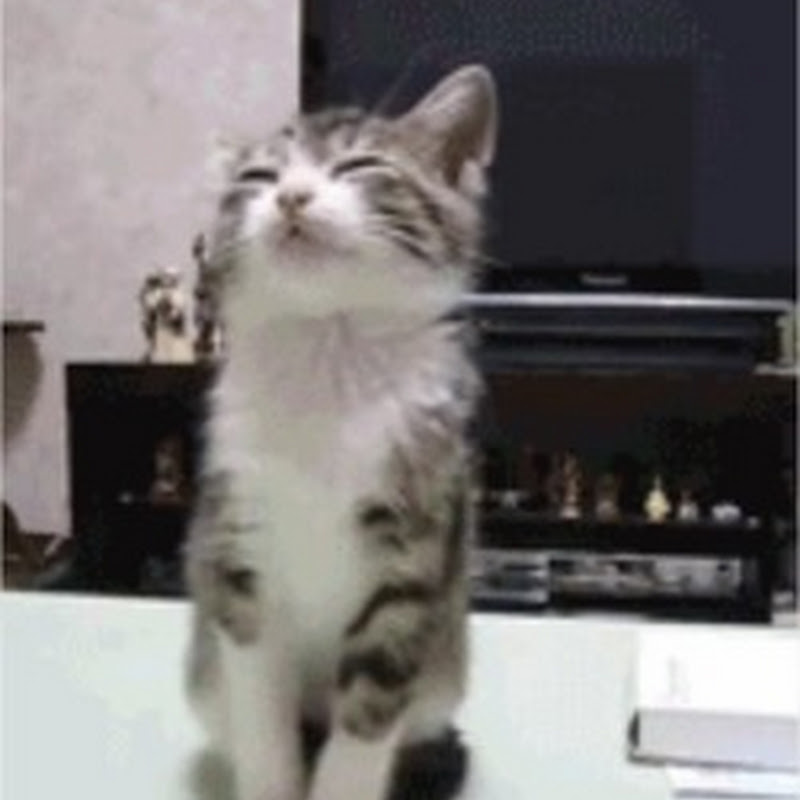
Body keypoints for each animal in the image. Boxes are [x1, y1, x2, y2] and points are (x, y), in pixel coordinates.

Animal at [184, 64, 497, 800]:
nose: (292, 196)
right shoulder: (235, 545)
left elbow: (373, 700)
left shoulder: (421, 548)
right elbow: (259, 702)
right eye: (258, 177)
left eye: (360, 165)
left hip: (445, 675)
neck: (330, 355)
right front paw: (270, 778)